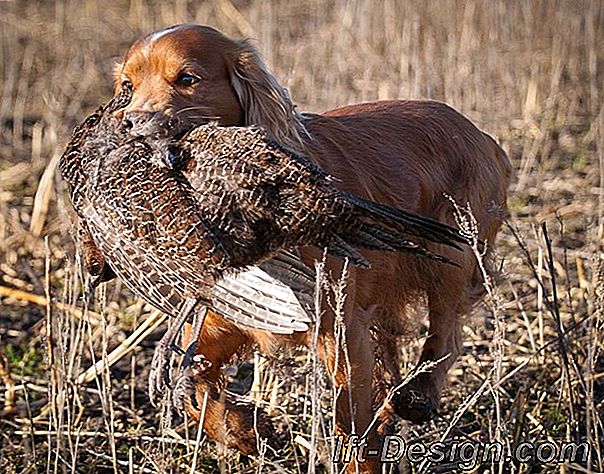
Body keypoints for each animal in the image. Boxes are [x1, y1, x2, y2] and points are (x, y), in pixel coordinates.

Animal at [112, 25, 510, 470]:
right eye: (127, 87)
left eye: (187, 78)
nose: (129, 126)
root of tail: (481, 135)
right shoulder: (222, 324)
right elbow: (197, 395)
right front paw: (249, 431)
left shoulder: (341, 329)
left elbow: (352, 426)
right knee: (392, 357)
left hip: (454, 253)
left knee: (446, 333)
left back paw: (417, 396)